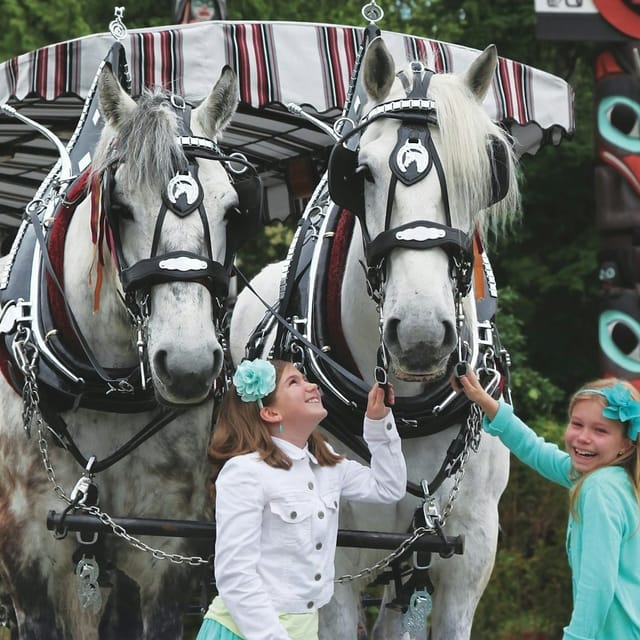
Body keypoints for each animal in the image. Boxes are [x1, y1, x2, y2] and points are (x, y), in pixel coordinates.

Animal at [0, 62, 242, 636]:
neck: (101, 390)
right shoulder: (30, 568)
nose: (188, 365)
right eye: (120, 207)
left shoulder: (165, 558)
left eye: (232, 210)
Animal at [230, 36, 520, 640]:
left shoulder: (468, 558)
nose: (421, 334)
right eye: (358, 171)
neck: (408, 413)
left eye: (485, 175)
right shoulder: (335, 555)